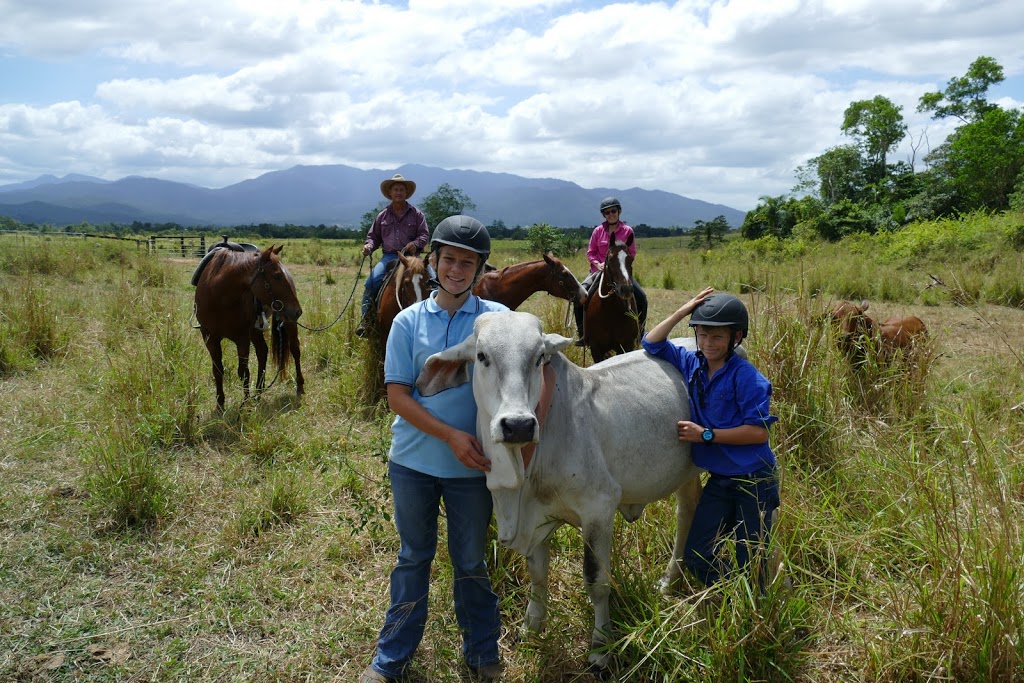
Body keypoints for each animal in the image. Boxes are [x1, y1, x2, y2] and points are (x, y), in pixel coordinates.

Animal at [192, 244, 301, 409]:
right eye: (276, 276)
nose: (298, 311)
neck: (219, 296)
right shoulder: (209, 337)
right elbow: (217, 370)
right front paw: (220, 404)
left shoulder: (242, 338)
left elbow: (243, 372)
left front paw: (245, 405)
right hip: (256, 330)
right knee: (262, 351)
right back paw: (259, 390)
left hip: (287, 322)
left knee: (295, 350)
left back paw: (300, 387)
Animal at [415, 309, 704, 667]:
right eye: (481, 356)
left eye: (540, 357)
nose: (518, 425)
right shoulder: (537, 519)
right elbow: (538, 574)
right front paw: (531, 629)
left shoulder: (599, 509)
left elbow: (596, 580)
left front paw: (600, 648)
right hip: (685, 472)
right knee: (688, 509)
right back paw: (670, 579)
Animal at [585, 233, 638, 362]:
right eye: (610, 259)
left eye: (631, 259)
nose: (626, 289)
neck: (610, 310)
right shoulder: (595, 348)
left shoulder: (627, 345)